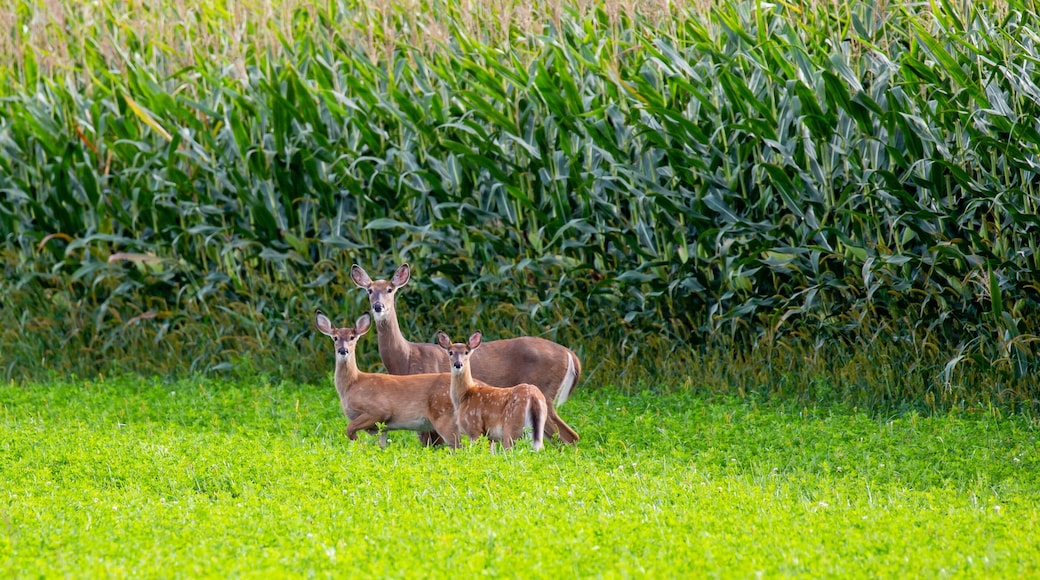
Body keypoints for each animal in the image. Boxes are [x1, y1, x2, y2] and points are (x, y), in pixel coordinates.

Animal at [314, 309, 460, 449]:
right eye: (335, 338)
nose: (343, 350)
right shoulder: (383, 428)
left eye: (352, 337)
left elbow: (349, 429)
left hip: (443, 416)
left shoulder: (378, 410)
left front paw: (361, 446)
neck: (352, 384)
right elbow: (381, 446)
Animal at [436, 330, 570, 452]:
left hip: (511, 424)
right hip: (538, 426)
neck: (464, 395)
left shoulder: (474, 428)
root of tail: (533, 397)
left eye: (466, 352)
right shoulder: (489, 437)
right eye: (450, 352)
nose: (458, 364)